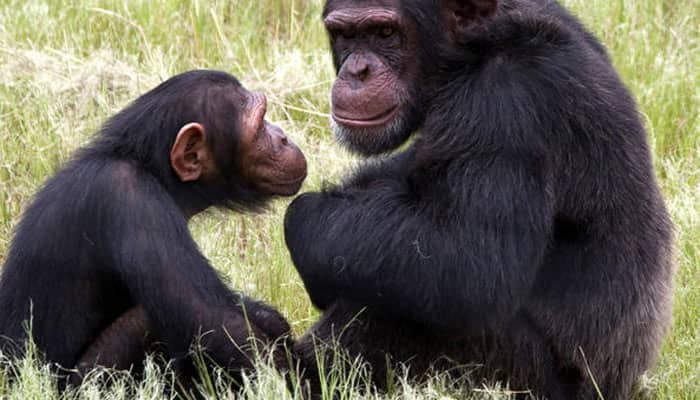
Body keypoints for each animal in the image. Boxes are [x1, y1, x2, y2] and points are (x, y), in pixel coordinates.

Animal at [0, 69, 306, 388]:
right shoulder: (133, 200)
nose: (282, 137)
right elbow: (214, 321)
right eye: (259, 126)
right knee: (145, 321)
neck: (151, 169)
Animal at [284, 0, 672, 400]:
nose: (357, 71)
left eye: (385, 33)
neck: (472, 52)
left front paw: (304, 217)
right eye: (345, 35)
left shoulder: (506, 104)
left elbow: (469, 261)